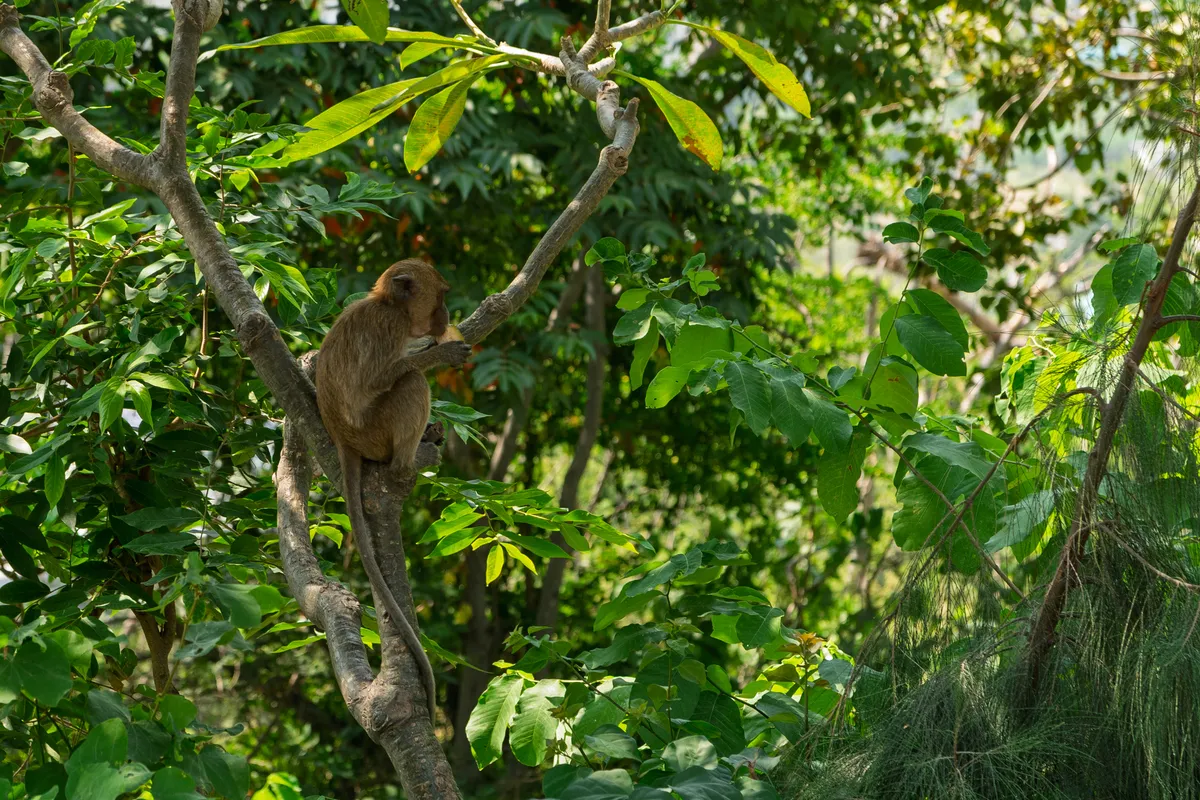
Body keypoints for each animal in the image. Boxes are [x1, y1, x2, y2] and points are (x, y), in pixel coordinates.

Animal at [316, 259, 471, 722]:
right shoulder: (389, 328)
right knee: (410, 384)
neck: (390, 306)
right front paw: (437, 353)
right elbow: (383, 377)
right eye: (441, 295)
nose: (444, 316)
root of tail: (344, 440)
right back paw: (410, 460)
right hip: (375, 433)